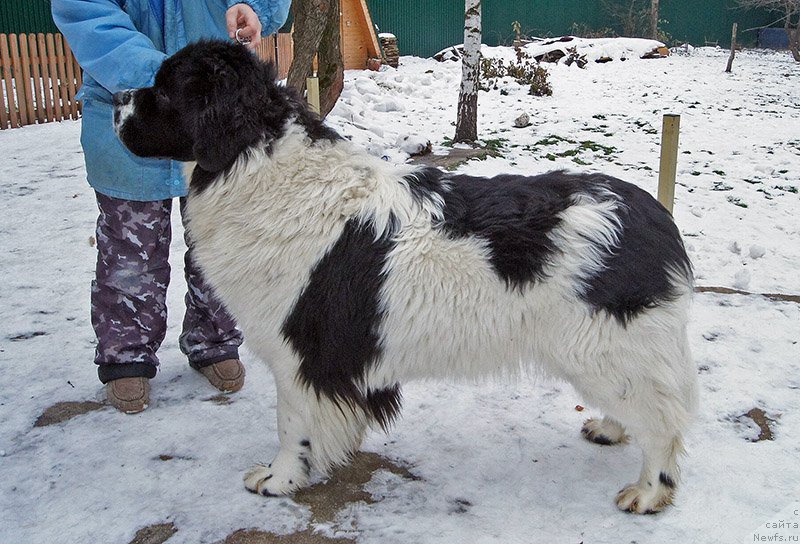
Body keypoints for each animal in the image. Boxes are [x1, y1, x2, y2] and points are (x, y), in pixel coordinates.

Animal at [115, 40, 696, 512]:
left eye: (164, 90)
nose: (113, 95)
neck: (255, 163)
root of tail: (656, 216)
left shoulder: (300, 352)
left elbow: (291, 425)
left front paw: (279, 479)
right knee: (643, 404)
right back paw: (610, 428)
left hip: (603, 344)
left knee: (663, 420)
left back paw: (649, 491)